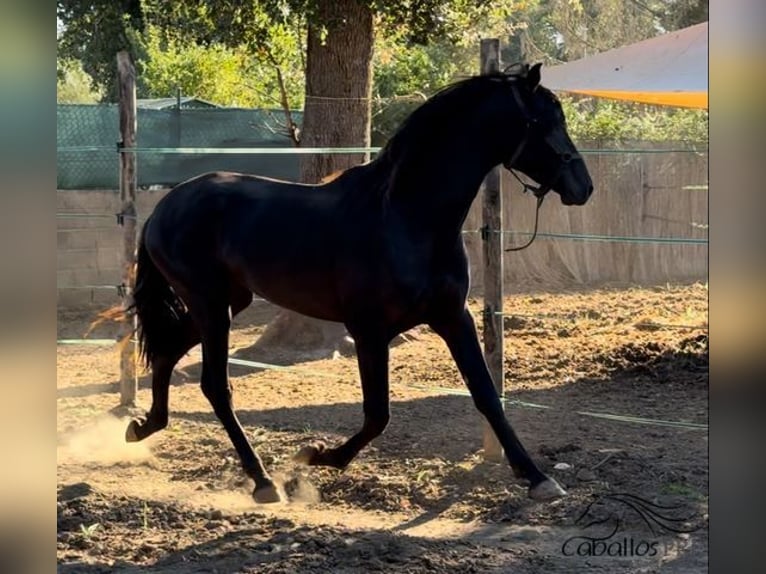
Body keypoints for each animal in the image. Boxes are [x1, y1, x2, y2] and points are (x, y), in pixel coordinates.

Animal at [126, 63, 596, 504]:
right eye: (546, 121)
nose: (584, 187)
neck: (406, 217)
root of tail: (165, 208)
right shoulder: (369, 330)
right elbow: (377, 415)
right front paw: (313, 457)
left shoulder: (452, 317)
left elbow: (486, 396)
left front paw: (538, 477)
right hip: (209, 304)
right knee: (215, 386)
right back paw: (263, 481)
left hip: (227, 302)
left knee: (167, 352)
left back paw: (143, 426)